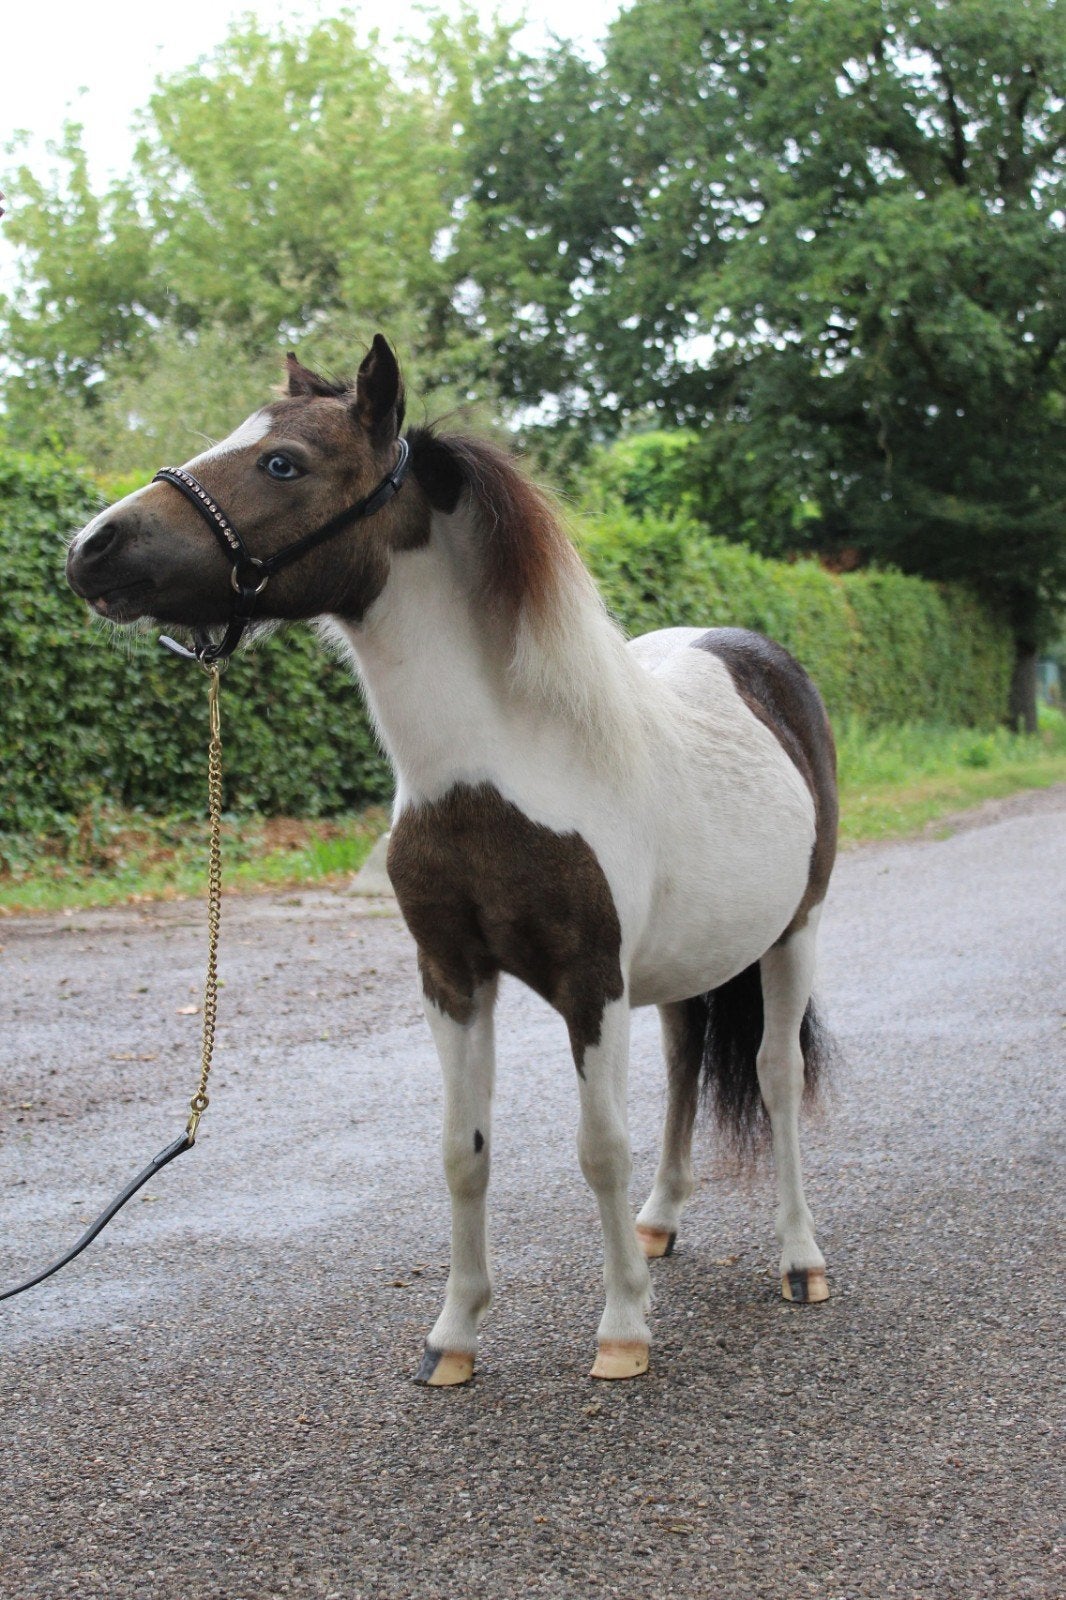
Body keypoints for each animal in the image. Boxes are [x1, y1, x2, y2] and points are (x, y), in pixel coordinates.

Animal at [66, 335, 838, 1385]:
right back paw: (659, 1224)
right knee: (686, 1066)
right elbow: (462, 1152)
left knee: (775, 1077)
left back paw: (801, 1260)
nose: (91, 549)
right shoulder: (452, 976)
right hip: (689, 962)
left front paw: (622, 1331)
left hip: (794, 932)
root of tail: (762, 662)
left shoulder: (590, 982)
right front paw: (456, 1335)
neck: (498, 766)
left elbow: (600, 1145)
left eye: (283, 463)